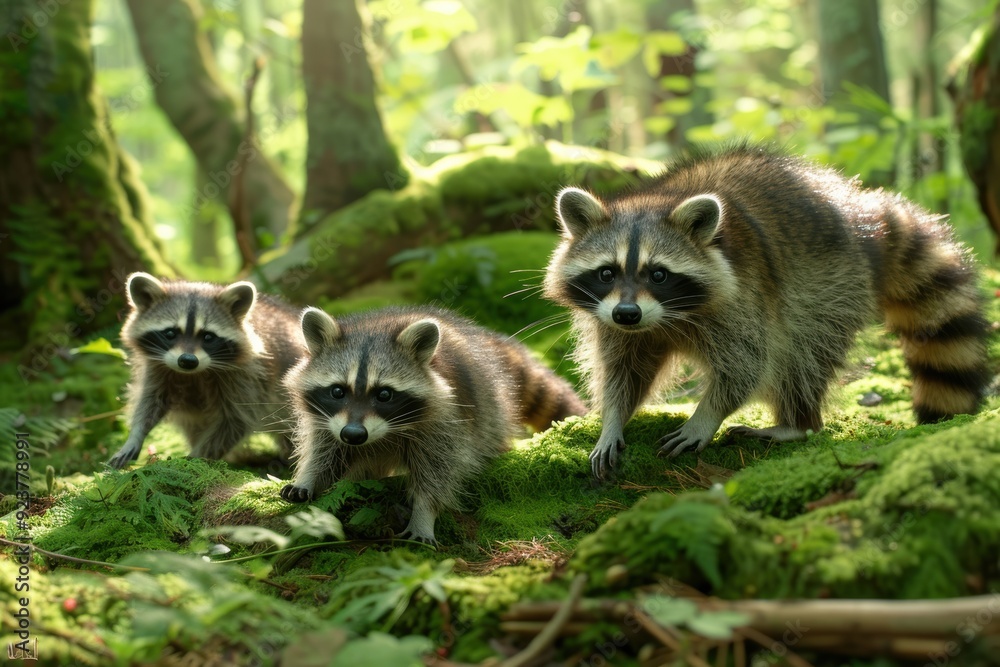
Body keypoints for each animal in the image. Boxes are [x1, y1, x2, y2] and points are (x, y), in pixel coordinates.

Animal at [107, 273, 306, 469]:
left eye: (208, 337)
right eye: (170, 333)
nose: (187, 361)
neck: (193, 374)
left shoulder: (250, 375)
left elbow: (235, 421)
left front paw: (195, 458)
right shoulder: (157, 367)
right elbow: (150, 402)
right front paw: (136, 434)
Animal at [279, 306, 586, 545]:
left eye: (384, 394)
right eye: (337, 391)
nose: (354, 435)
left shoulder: (447, 420)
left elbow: (439, 471)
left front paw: (424, 513)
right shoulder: (327, 420)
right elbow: (324, 449)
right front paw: (308, 478)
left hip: (491, 409)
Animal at [544, 145, 992, 479]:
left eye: (658, 274)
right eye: (607, 272)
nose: (627, 314)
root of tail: (860, 213)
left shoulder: (745, 296)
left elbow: (746, 366)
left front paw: (705, 416)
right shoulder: (613, 322)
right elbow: (622, 372)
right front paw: (611, 421)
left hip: (831, 286)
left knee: (800, 357)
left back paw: (797, 425)